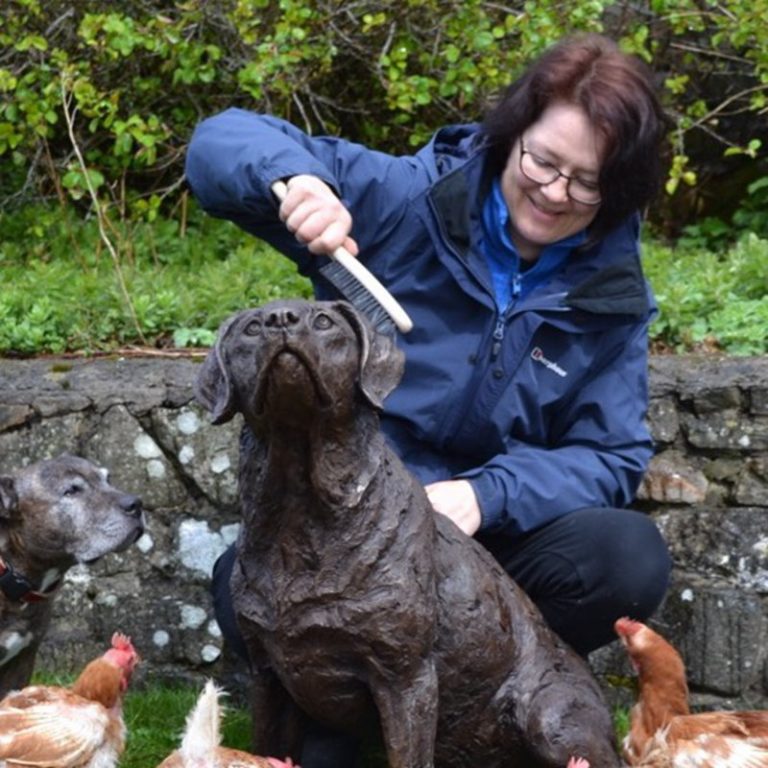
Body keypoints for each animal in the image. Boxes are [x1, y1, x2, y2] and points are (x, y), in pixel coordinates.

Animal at [195, 300, 620, 768]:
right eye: (252, 329)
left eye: (323, 322)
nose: (280, 320)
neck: (299, 508)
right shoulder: (270, 676)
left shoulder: (405, 678)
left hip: (550, 718)